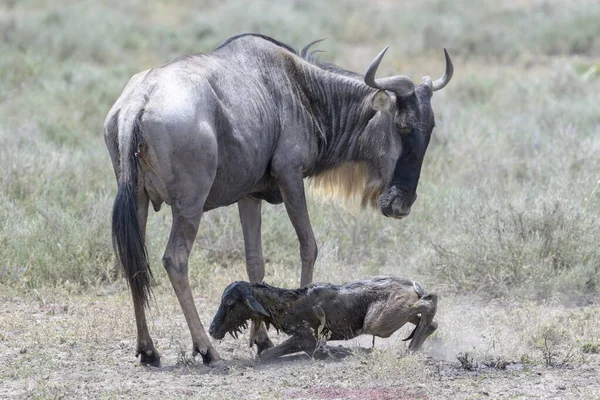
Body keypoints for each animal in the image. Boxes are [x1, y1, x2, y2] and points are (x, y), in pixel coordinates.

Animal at [210, 276, 436, 360]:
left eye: (229, 303)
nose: (212, 329)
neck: (284, 304)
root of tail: (411, 285)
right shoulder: (312, 342)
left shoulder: (306, 338)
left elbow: (265, 354)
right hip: (394, 316)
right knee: (431, 322)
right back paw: (416, 344)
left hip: (377, 324)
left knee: (430, 300)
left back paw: (412, 348)